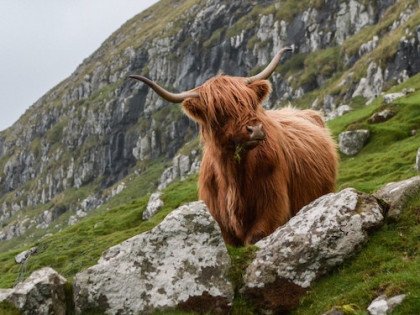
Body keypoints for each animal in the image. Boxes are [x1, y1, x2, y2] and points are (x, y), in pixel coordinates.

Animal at [130, 47, 338, 247]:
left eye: (251, 103)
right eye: (219, 112)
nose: (256, 129)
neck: (233, 178)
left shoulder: (273, 209)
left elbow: (255, 237)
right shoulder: (221, 224)